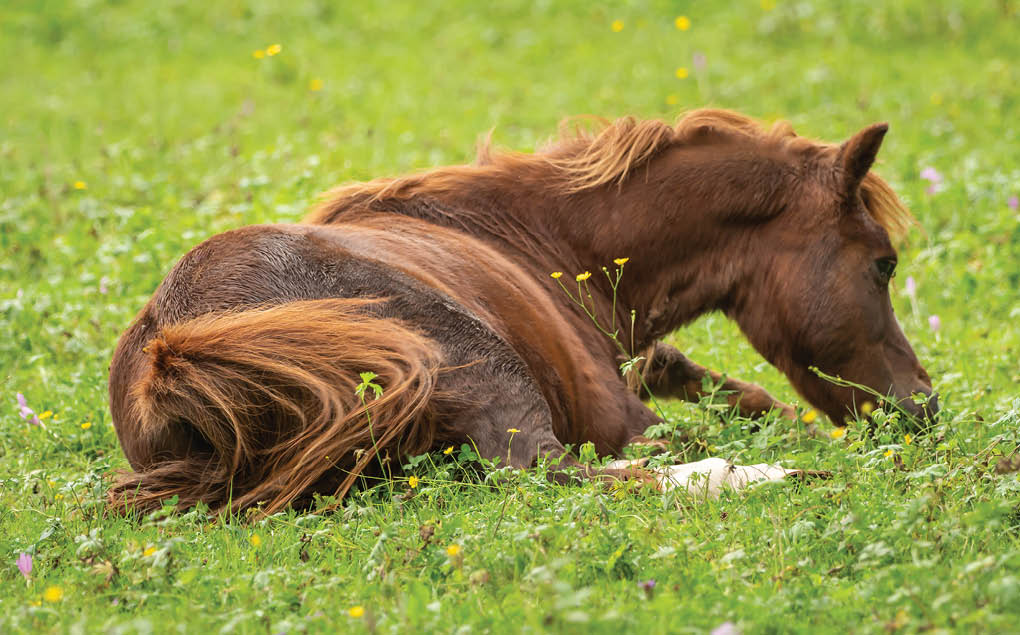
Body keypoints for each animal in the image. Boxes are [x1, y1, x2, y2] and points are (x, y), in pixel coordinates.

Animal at [107, 109, 937, 517]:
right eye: (883, 262)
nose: (923, 408)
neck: (543, 239)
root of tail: (174, 346)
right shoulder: (618, 413)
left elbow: (732, 386)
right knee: (561, 473)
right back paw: (766, 474)